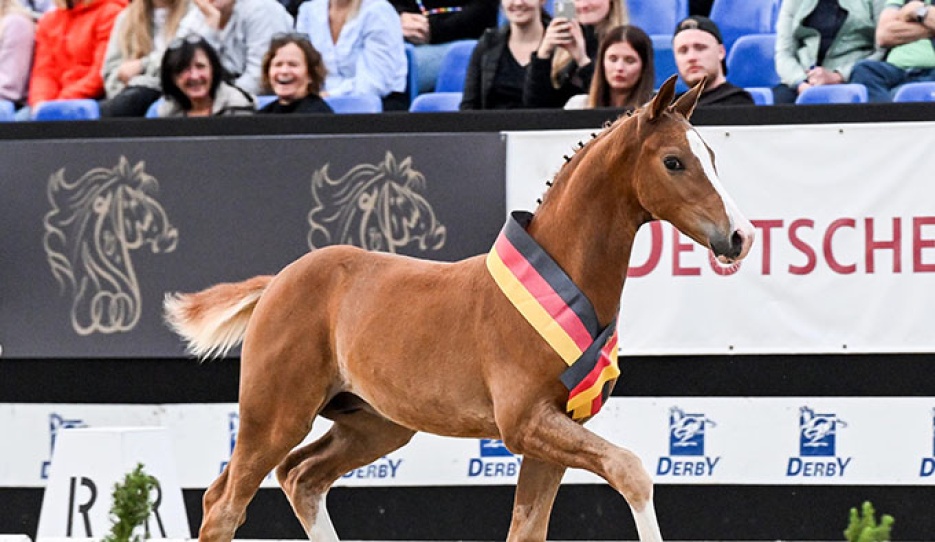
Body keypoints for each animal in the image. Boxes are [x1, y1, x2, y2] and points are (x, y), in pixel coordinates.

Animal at [163, 76, 755, 542]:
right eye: (674, 162)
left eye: (713, 158)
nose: (740, 237)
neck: (562, 283)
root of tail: (277, 283)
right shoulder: (525, 423)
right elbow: (632, 470)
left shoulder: (552, 432)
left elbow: (528, 528)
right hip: (274, 415)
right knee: (224, 504)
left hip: (374, 424)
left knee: (301, 478)